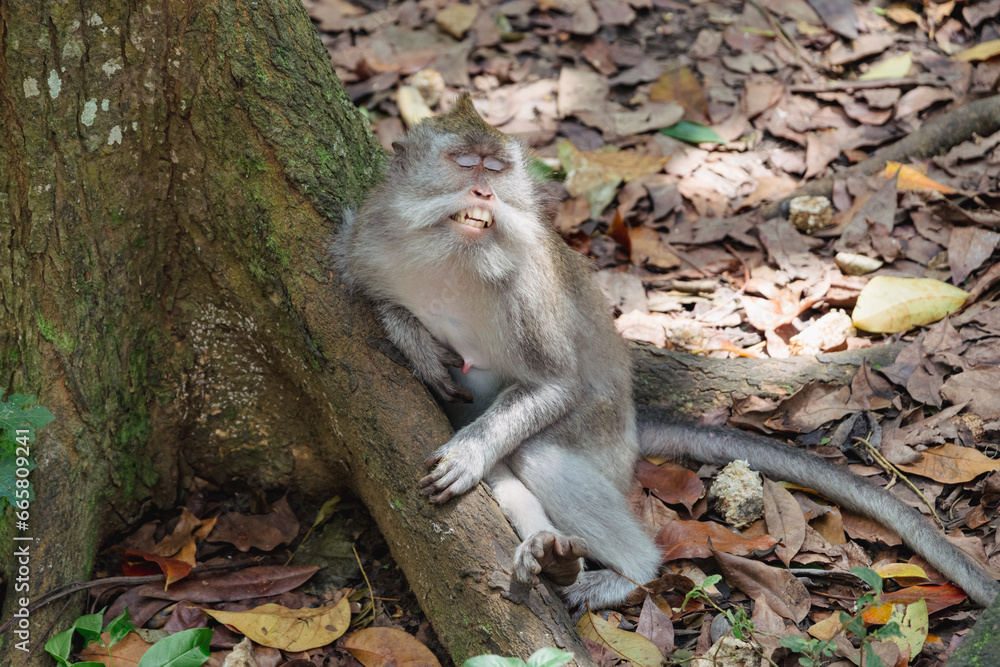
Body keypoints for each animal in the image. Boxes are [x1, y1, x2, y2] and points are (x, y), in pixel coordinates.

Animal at [338, 94, 1000, 612]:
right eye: (463, 162)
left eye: (496, 169)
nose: (482, 190)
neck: (455, 254)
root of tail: (634, 424)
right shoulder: (371, 233)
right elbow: (372, 291)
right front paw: (411, 336)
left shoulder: (524, 282)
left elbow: (555, 383)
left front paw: (469, 451)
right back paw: (550, 557)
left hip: (604, 438)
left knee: (541, 452)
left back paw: (622, 571)